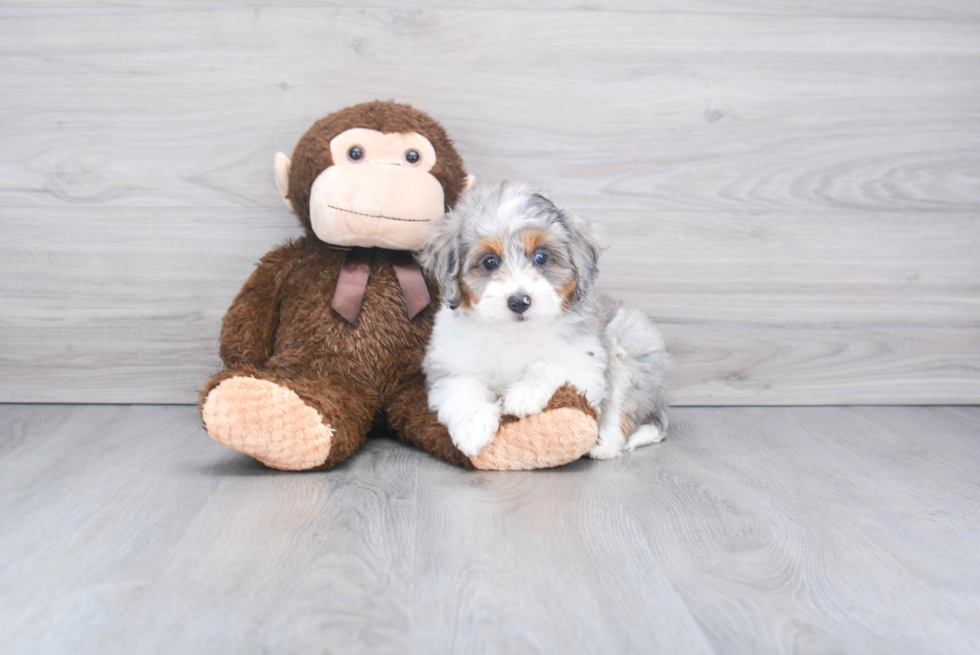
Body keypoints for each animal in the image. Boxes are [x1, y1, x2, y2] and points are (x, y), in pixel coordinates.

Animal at [418, 182, 668, 462]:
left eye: (540, 257)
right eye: (490, 262)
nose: (519, 301)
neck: (514, 333)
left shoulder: (586, 360)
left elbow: (551, 364)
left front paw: (524, 393)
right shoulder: (449, 362)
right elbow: (461, 386)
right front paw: (473, 427)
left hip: (630, 344)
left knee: (621, 410)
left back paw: (604, 443)